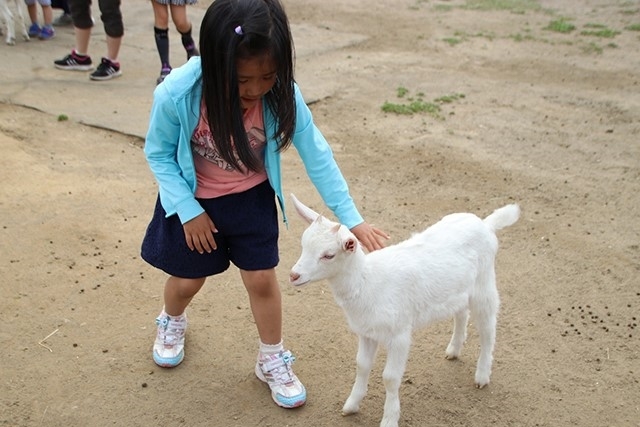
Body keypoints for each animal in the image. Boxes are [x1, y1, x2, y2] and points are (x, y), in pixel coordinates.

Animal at [290, 195, 520, 427]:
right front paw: (351, 405)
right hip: (458, 289)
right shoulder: (366, 332)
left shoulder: (399, 334)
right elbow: (362, 365)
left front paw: (389, 418)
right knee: (461, 312)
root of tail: (486, 223)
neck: (367, 282)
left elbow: (390, 378)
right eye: (303, 245)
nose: (294, 275)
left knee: (488, 328)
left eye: (328, 255)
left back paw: (482, 375)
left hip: (484, 283)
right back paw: (454, 349)